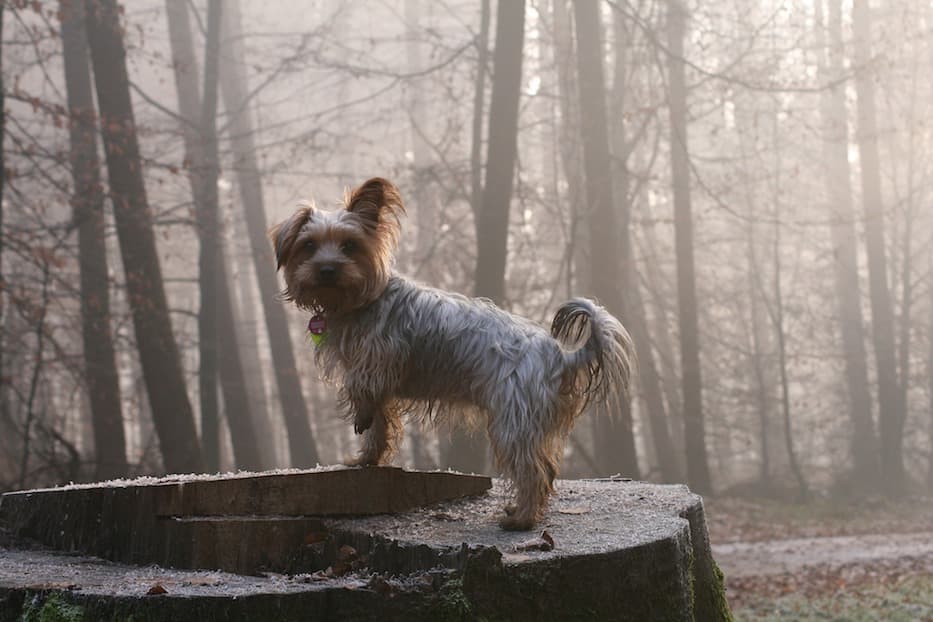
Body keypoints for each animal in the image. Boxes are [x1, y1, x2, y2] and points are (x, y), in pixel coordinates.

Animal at [268, 177, 632, 532]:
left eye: (349, 246)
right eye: (309, 246)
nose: (327, 269)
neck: (355, 301)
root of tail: (558, 354)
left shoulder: (382, 357)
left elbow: (362, 389)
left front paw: (360, 416)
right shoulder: (381, 382)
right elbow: (379, 426)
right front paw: (366, 458)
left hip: (513, 420)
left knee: (533, 471)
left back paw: (522, 519)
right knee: (546, 469)